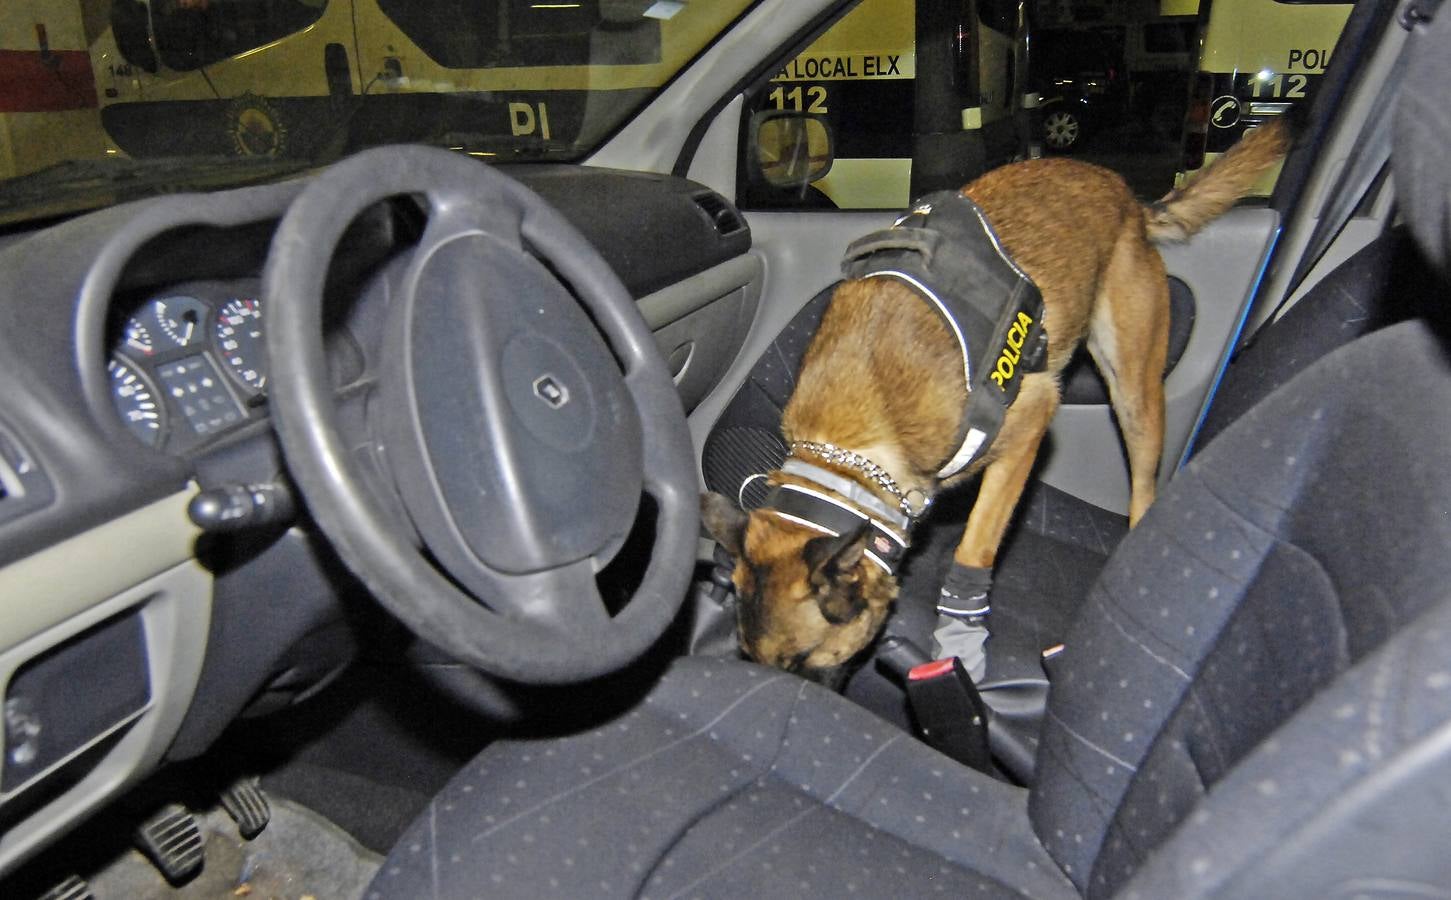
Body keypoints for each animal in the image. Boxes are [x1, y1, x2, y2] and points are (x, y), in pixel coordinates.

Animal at [702, 123, 1294, 679]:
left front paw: (959, 636)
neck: (851, 452)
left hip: (1133, 391)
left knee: (1145, 479)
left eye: (805, 661)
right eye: (751, 657)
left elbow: (975, 546)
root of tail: (1120, 189)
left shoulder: (1031, 421)